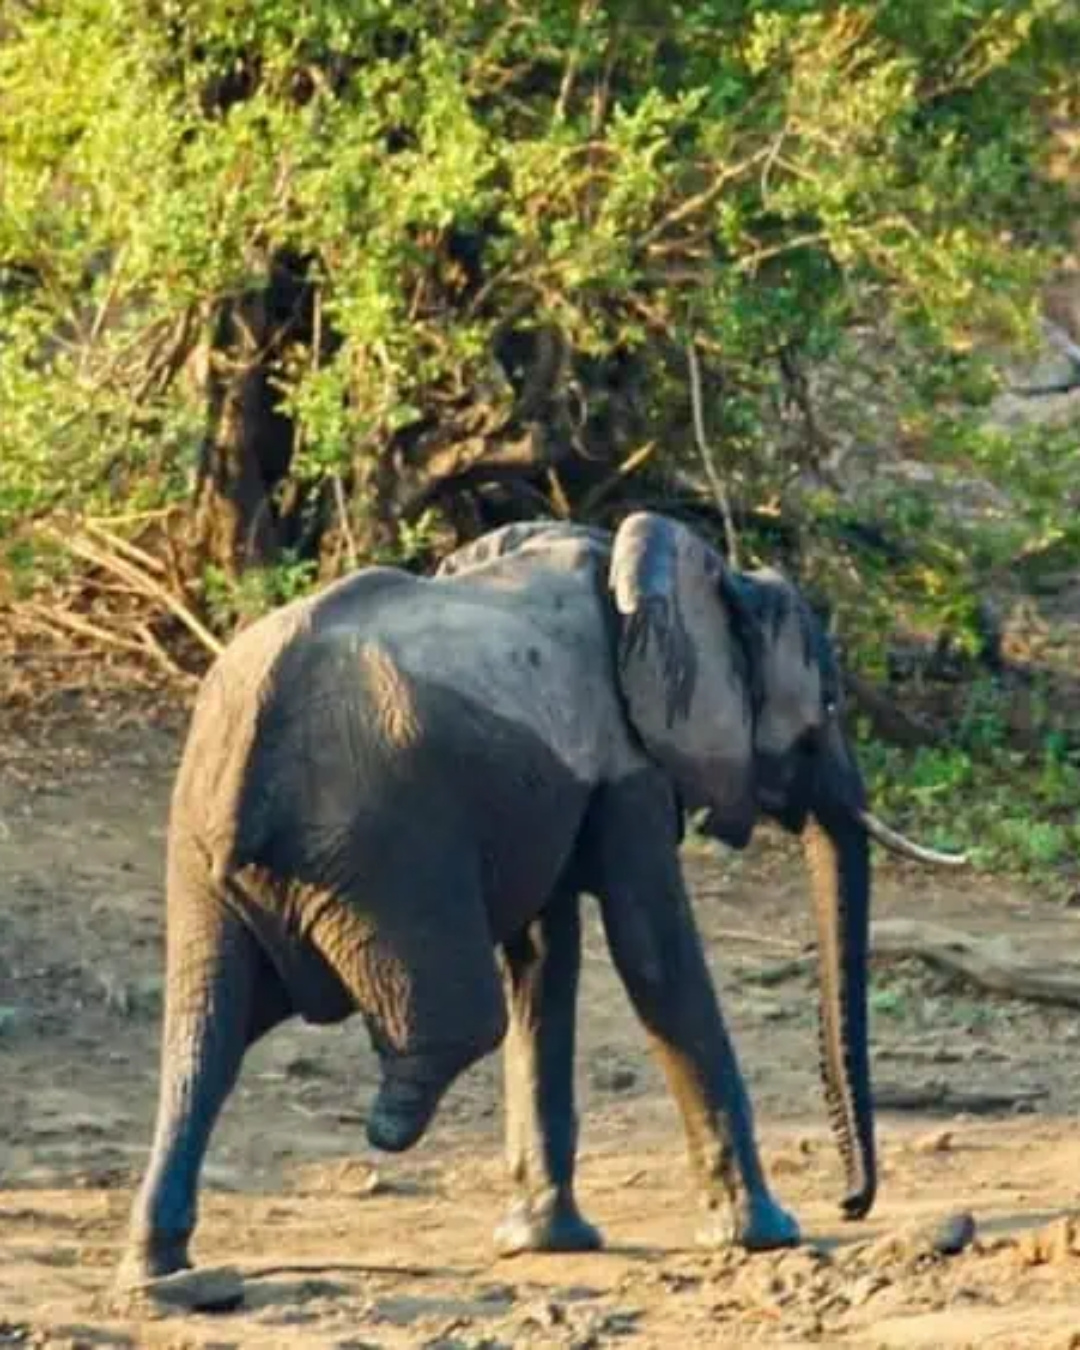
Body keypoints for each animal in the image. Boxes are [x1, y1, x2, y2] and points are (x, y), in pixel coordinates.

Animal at [115, 511, 963, 1289]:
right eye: (829, 708)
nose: (851, 1203)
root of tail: (252, 730)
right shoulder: (627, 768)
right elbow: (652, 956)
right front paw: (766, 1235)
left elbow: (545, 960)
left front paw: (544, 1243)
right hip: (385, 839)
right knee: (456, 1019)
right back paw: (389, 1123)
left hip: (204, 850)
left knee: (203, 1032)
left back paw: (159, 1270)